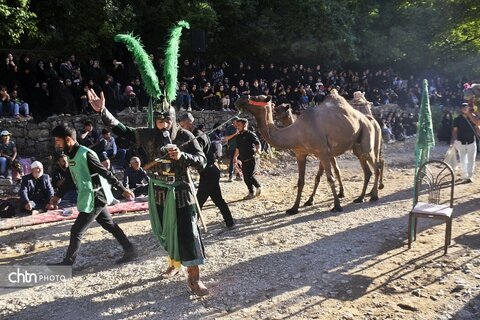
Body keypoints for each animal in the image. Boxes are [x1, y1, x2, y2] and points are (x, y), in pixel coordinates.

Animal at [235, 91, 382, 214]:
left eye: (255, 97)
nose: (240, 99)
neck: (297, 132)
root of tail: (368, 119)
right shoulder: (300, 154)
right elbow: (301, 181)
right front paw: (294, 208)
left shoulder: (323, 153)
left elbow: (330, 178)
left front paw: (337, 206)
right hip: (356, 146)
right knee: (367, 170)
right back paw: (360, 198)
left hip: (366, 138)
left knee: (376, 166)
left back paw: (374, 196)